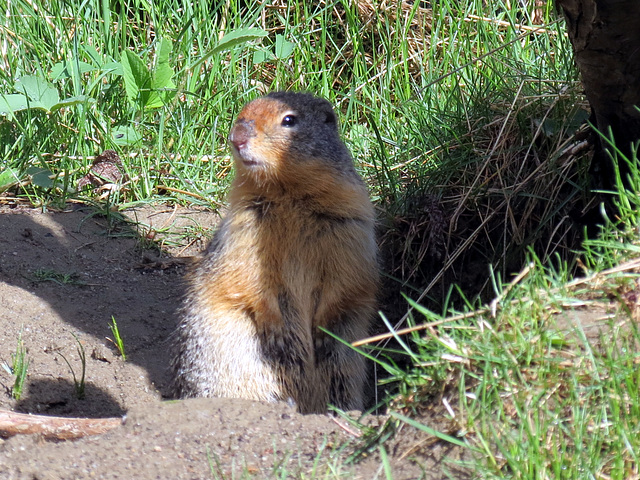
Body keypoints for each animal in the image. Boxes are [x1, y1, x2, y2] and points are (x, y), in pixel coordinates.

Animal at [170, 93, 380, 412]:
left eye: (289, 120)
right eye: (241, 112)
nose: (237, 137)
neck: (288, 195)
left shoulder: (349, 230)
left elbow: (346, 282)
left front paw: (323, 331)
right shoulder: (244, 231)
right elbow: (247, 279)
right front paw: (276, 330)